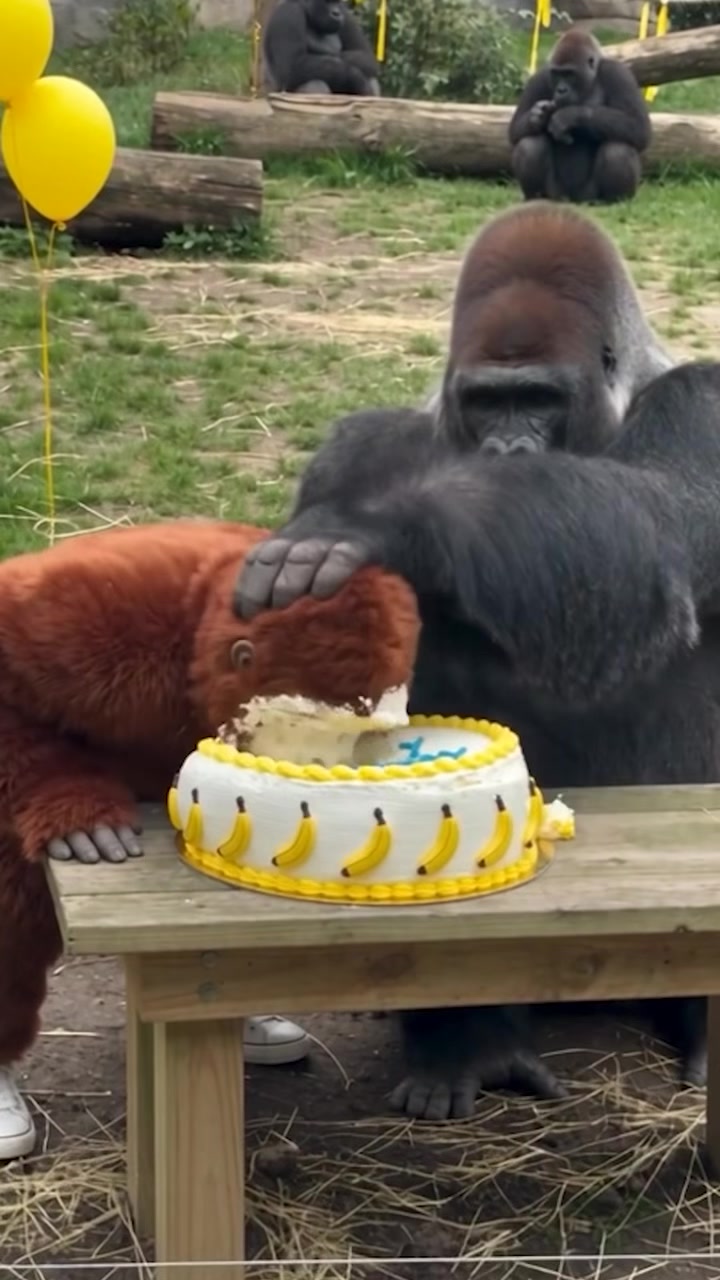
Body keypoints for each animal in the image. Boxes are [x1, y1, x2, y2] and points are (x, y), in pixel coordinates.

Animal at [508, 26, 651, 204]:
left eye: (569, 74)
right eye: (557, 74)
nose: (561, 90)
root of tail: (573, 200)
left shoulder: (618, 73)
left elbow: (638, 127)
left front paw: (570, 115)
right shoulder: (539, 77)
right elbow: (515, 130)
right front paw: (537, 116)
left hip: (590, 196)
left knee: (618, 148)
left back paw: (615, 200)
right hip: (556, 195)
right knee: (530, 144)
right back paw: (536, 197)